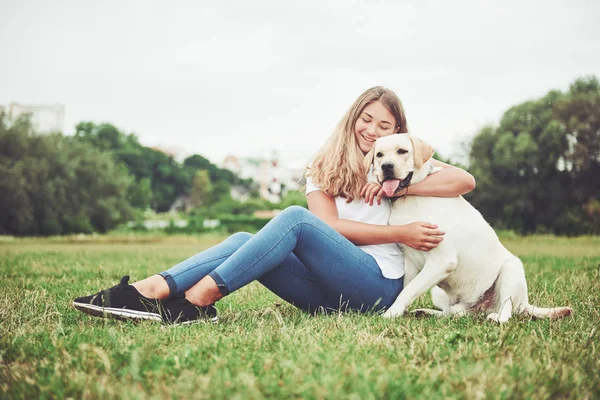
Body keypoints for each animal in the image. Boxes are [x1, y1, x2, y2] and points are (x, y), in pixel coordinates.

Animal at [364, 136, 576, 324]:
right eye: (380, 155)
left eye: (403, 151)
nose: (386, 166)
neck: (410, 199)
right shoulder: (409, 261)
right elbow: (406, 289)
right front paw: (397, 311)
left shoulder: (442, 260)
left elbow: (408, 290)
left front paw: (390, 314)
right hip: (439, 294)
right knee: (453, 312)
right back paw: (428, 312)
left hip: (511, 270)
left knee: (506, 310)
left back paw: (497, 318)